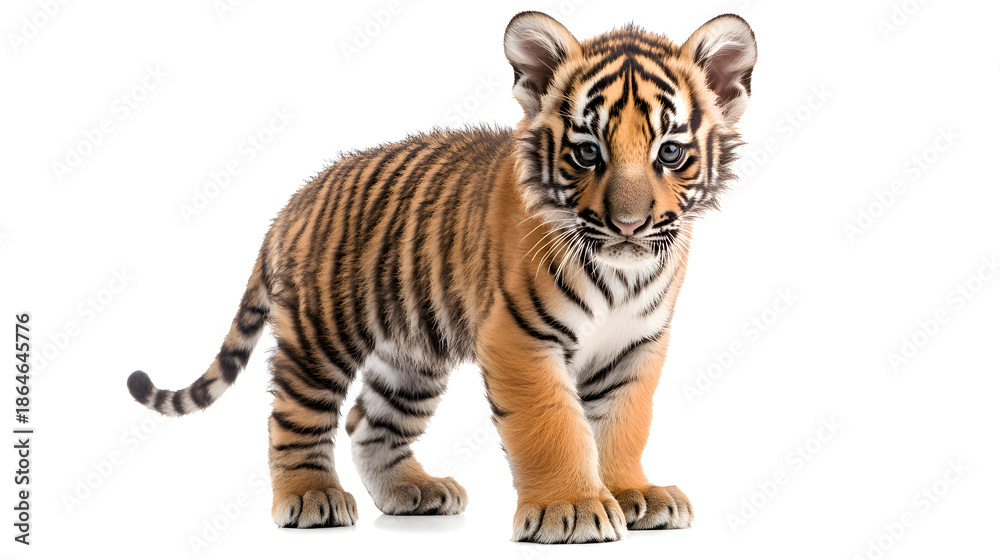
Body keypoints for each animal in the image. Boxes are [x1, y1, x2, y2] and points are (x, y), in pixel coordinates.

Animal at [126, 11, 756, 544]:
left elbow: (622, 422)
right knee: (296, 417)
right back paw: (311, 497)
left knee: (368, 421)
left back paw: (413, 492)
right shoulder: (520, 337)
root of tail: (294, 201)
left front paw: (631, 493)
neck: (622, 274)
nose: (629, 225)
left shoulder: (637, 344)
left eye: (670, 153)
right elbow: (552, 424)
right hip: (319, 335)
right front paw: (571, 507)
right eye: (585, 152)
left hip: (411, 353)